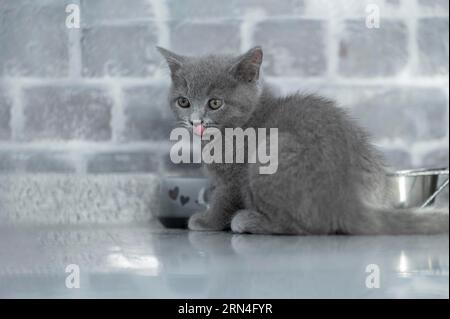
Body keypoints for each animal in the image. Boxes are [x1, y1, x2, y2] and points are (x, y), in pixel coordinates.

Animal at [157, 47, 446, 235]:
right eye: (184, 102)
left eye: (215, 103)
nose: (196, 121)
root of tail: (347, 198)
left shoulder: (234, 178)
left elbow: (223, 201)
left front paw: (206, 222)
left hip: (270, 152)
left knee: (302, 227)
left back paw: (247, 221)